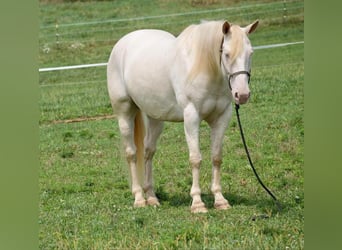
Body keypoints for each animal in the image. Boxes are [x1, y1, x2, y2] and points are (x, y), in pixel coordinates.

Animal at [107, 19, 260, 213]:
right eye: (226, 54)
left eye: (251, 53)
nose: (242, 95)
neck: (203, 67)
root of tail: (122, 43)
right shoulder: (191, 117)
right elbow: (195, 159)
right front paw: (197, 203)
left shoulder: (221, 118)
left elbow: (216, 157)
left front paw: (220, 200)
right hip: (124, 113)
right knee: (132, 154)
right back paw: (139, 198)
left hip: (155, 117)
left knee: (148, 152)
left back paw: (151, 197)